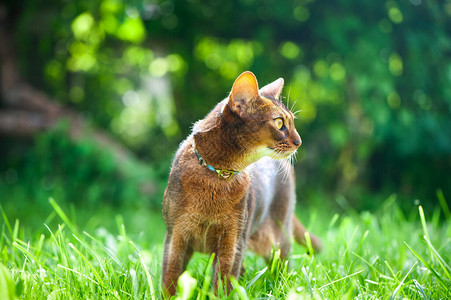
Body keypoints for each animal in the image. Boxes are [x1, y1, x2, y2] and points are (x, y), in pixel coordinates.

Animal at [161, 71, 324, 296]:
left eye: (291, 122)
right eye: (279, 123)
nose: (299, 141)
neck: (218, 175)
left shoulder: (232, 240)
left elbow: (223, 282)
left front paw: (220, 297)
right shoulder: (175, 235)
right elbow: (169, 278)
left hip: (277, 239)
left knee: (283, 269)